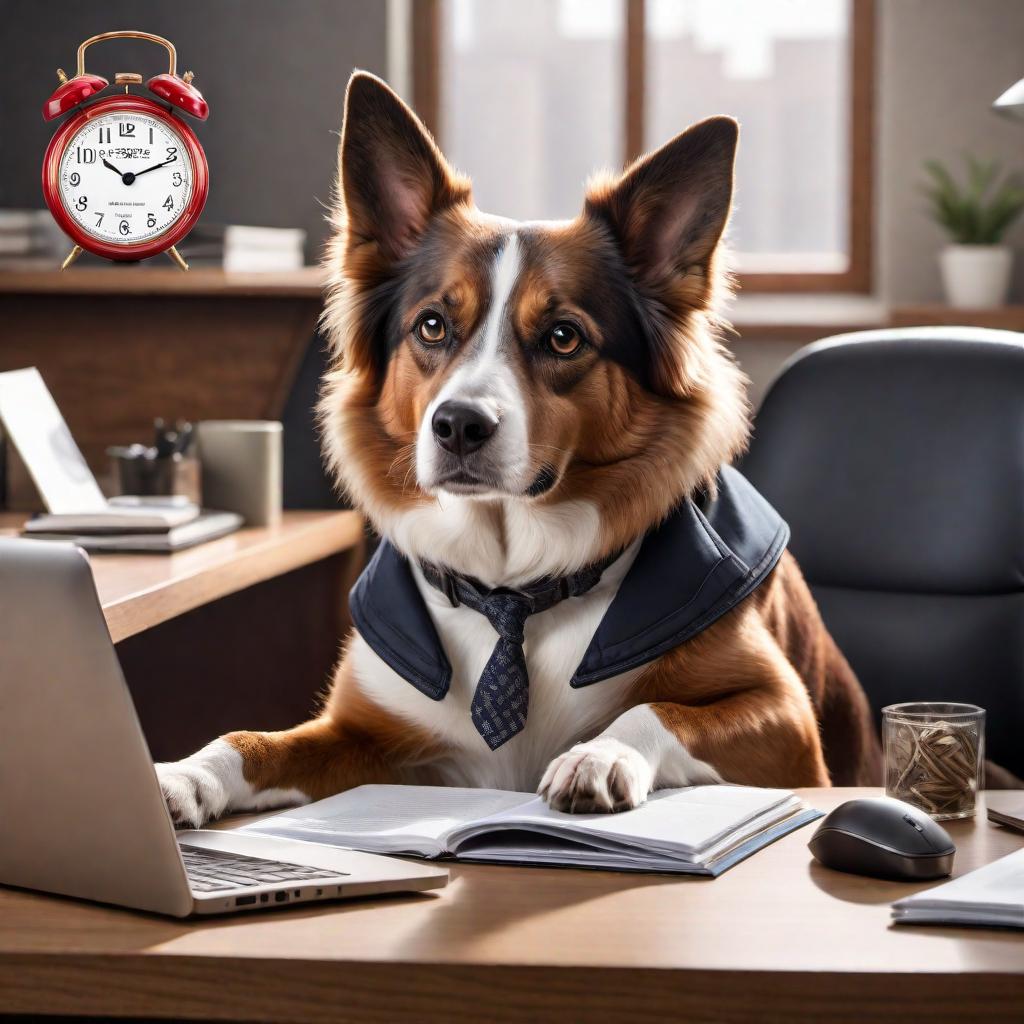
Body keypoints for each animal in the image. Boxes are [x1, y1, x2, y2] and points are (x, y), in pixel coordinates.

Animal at [157, 72, 880, 827]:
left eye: (563, 337)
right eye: (433, 326)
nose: (458, 426)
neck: (512, 594)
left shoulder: (786, 721)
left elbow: (657, 709)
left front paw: (599, 755)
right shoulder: (359, 729)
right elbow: (251, 738)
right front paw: (182, 775)